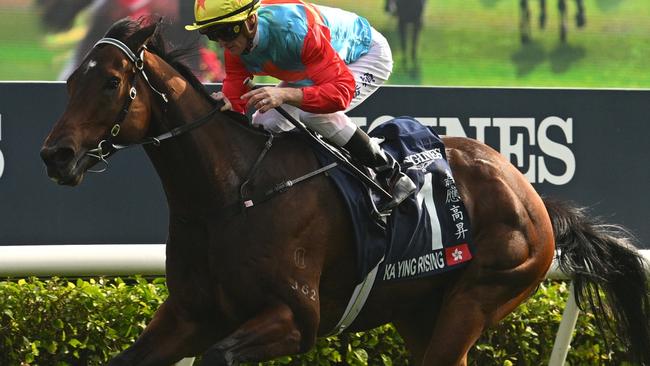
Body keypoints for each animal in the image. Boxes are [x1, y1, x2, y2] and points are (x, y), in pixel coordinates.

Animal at [40, 19, 648, 366]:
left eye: (111, 82)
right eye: (69, 82)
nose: (55, 155)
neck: (230, 194)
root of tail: (533, 194)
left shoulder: (293, 318)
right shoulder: (190, 314)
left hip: (483, 293)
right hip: (420, 311)